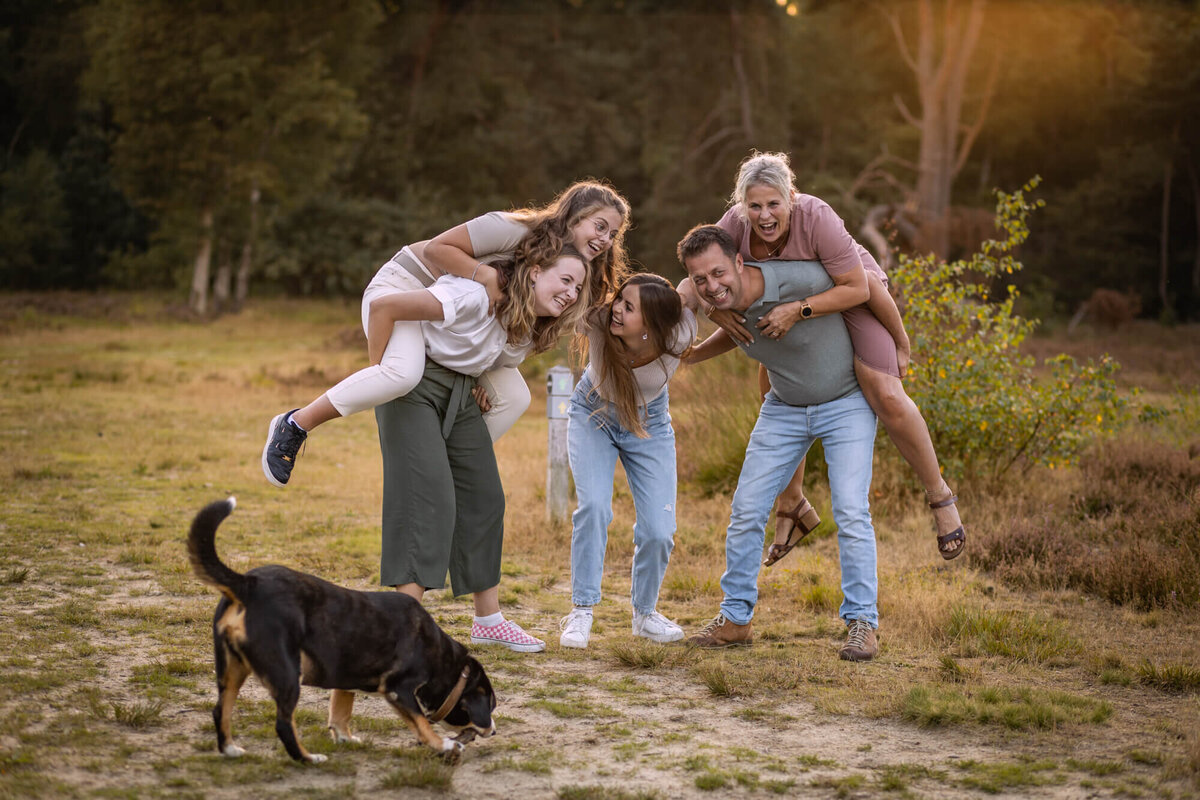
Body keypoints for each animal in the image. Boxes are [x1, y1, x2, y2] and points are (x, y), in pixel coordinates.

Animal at [184, 501, 494, 762]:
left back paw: (230, 749)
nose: (493, 730)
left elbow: (341, 710)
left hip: (232, 668)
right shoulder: (399, 689)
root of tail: (248, 584)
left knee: (220, 709)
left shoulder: (346, 678)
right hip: (287, 673)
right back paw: (308, 759)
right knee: (283, 724)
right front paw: (444, 745)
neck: (441, 656)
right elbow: (420, 723)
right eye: (490, 704)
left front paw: (345, 737)